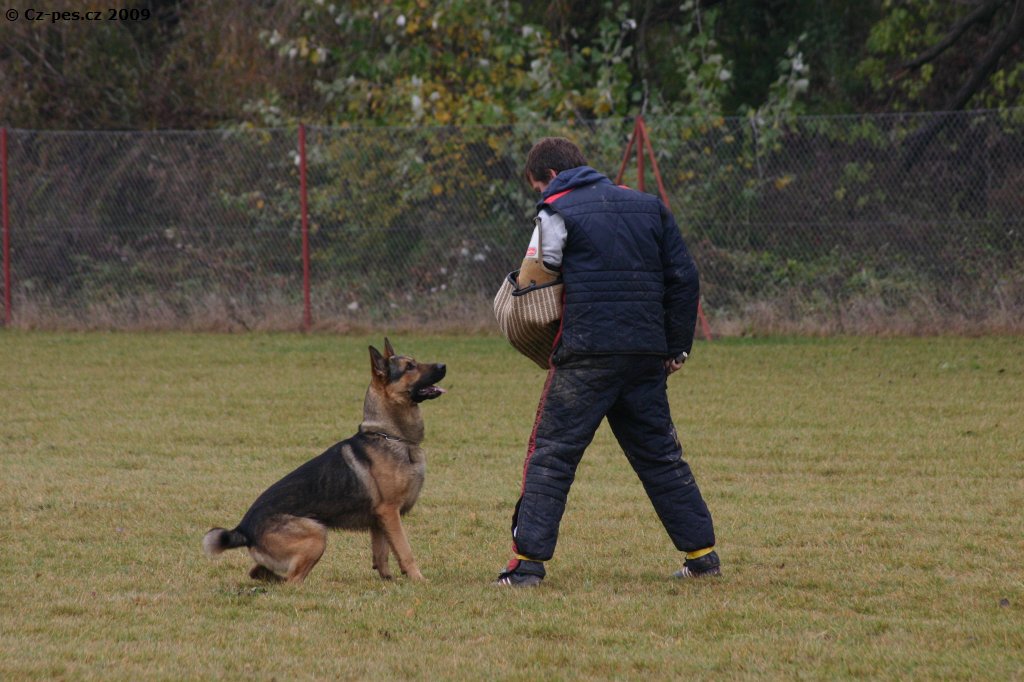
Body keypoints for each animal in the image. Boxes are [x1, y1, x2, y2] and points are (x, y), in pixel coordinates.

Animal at [202, 338, 446, 583]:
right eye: (409, 367)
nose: (443, 365)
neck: (389, 435)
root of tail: (243, 529)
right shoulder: (390, 512)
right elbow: (404, 550)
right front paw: (418, 579)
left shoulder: (379, 520)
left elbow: (382, 553)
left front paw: (388, 581)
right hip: (317, 534)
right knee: (291, 582)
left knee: (260, 572)